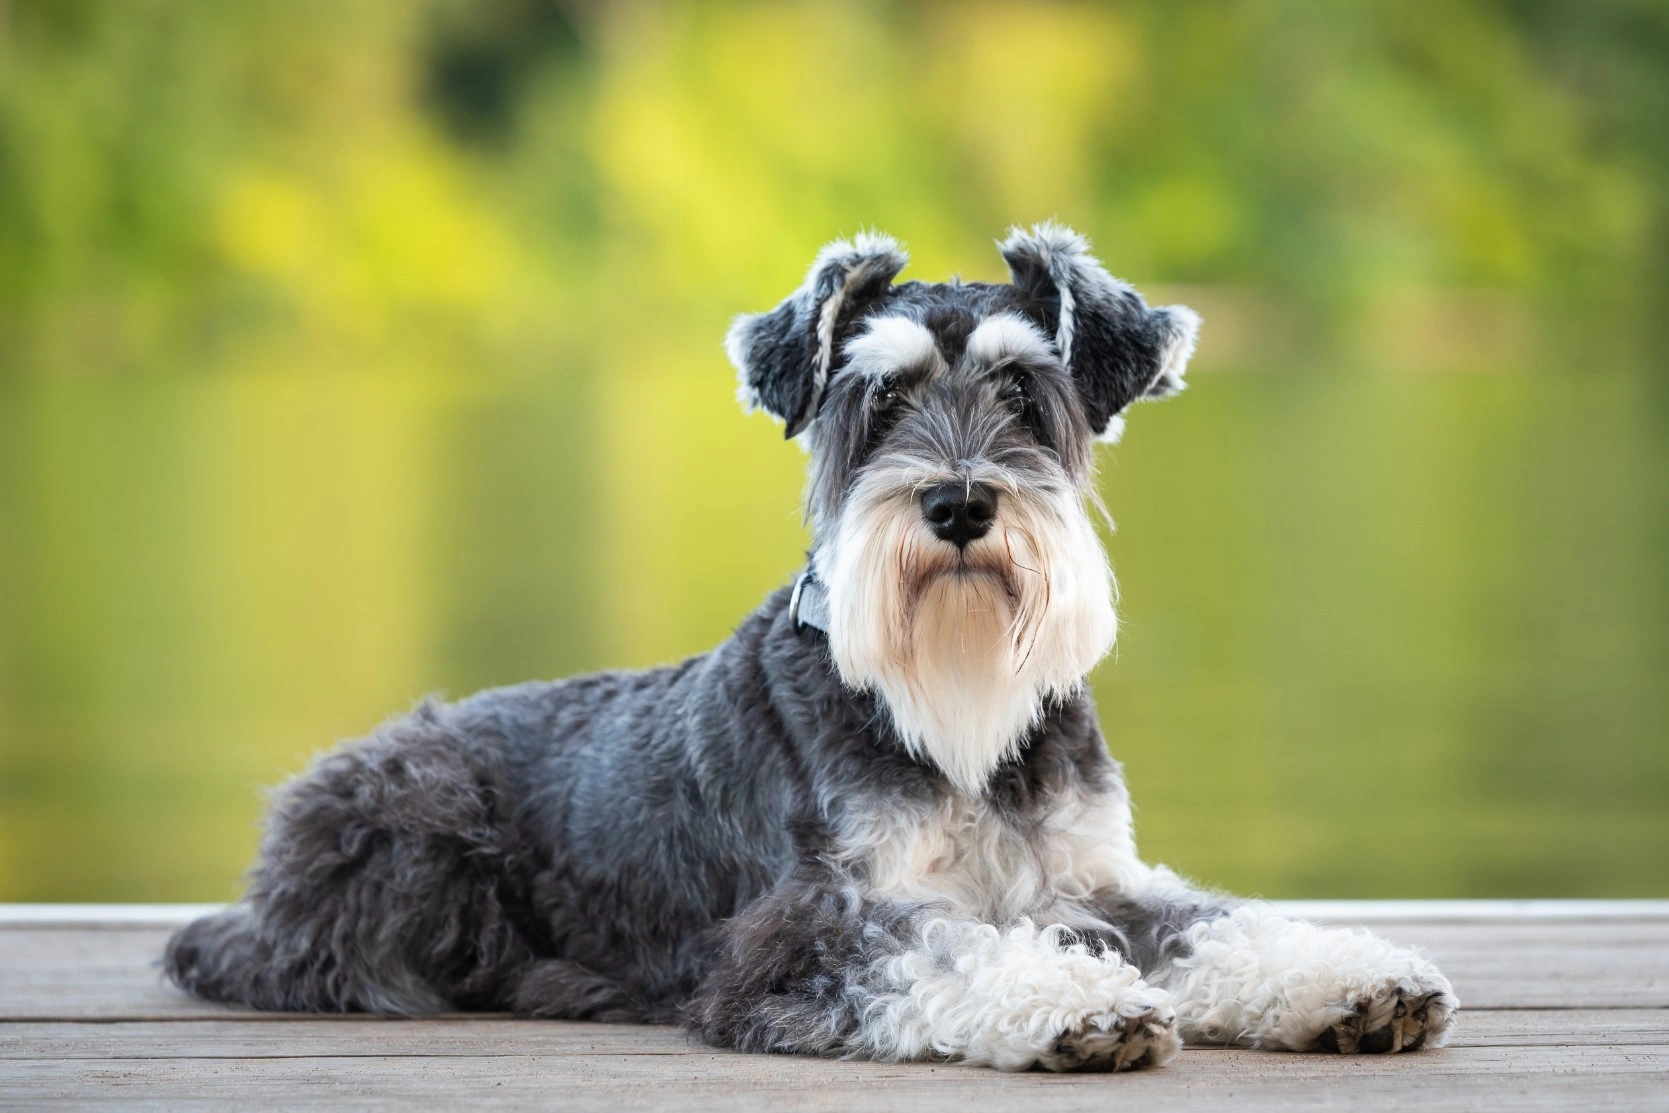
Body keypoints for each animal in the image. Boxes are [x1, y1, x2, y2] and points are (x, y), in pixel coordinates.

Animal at [162, 223, 1455, 1067]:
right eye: (876, 404)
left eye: (1024, 394)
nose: (956, 504)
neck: (955, 716)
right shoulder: (801, 930)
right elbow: (940, 948)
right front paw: (1067, 1004)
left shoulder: (1094, 882)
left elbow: (1219, 924)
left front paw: (1352, 977)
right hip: (412, 821)